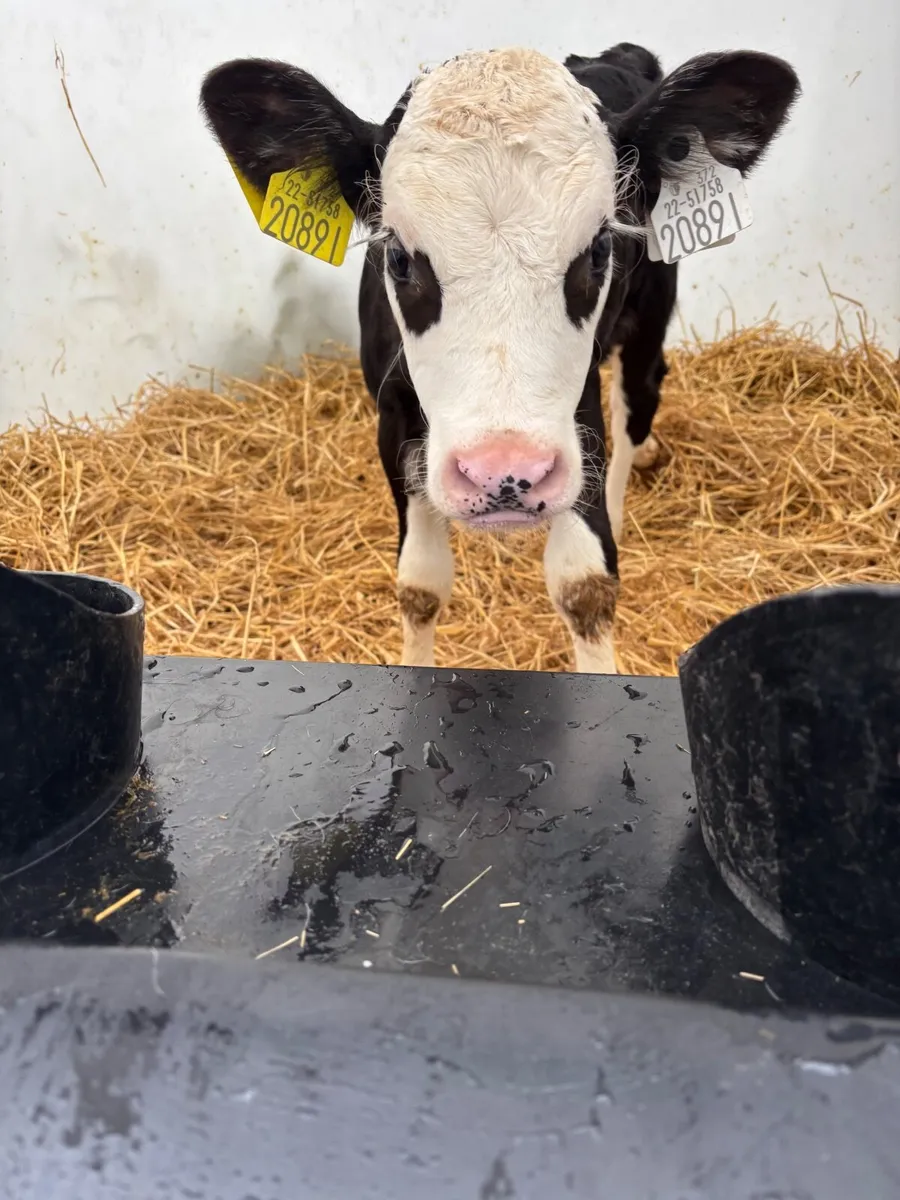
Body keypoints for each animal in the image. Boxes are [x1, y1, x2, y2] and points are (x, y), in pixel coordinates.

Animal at [200, 43, 799, 672]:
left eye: (600, 248)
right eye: (397, 257)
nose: (502, 472)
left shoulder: (575, 412)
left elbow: (585, 584)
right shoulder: (392, 416)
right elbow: (420, 583)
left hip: (648, 321)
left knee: (637, 402)